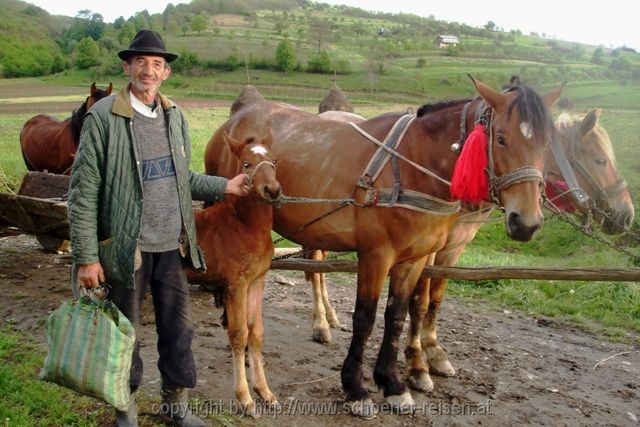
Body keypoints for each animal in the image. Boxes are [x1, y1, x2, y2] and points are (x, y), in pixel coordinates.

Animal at [185, 130, 280, 414]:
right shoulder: (235, 285)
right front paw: (245, 398)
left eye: (274, 161)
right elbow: (239, 335)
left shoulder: (257, 283)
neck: (245, 226)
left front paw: (264, 391)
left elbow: (256, 333)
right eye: (247, 164)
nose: (273, 190)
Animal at [205, 77, 556, 418]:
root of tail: (234, 121)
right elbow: (366, 318)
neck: (413, 165)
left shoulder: (414, 259)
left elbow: (398, 315)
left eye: (546, 144)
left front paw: (393, 383)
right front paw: (356, 389)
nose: (526, 222)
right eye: (501, 139)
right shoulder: (376, 254)